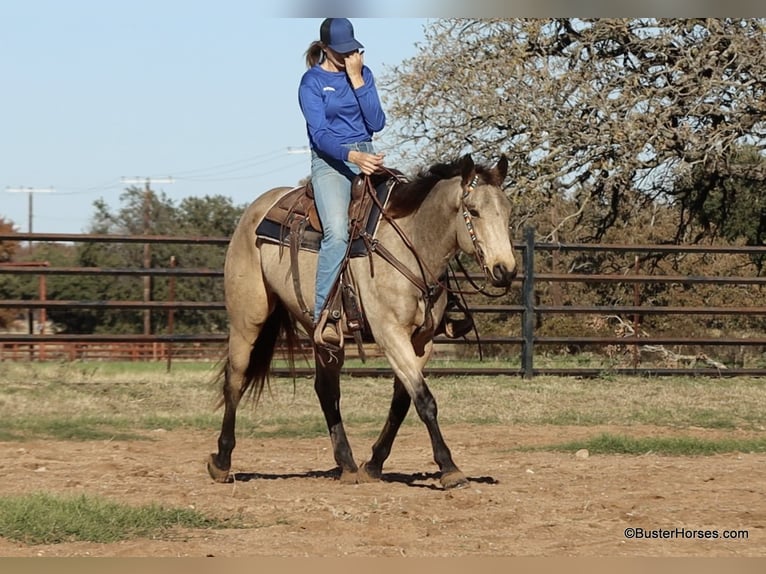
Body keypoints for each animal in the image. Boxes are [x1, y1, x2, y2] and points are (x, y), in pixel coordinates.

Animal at [207, 153, 517, 489]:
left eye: (507, 210)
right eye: (473, 210)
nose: (505, 270)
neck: (411, 244)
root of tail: (257, 208)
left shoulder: (421, 342)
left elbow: (403, 402)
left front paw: (374, 464)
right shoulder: (390, 334)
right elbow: (425, 401)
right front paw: (450, 468)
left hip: (321, 333)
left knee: (326, 390)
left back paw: (347, 464)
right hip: (246, 320)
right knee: (235, 379)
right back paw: (221, 461)